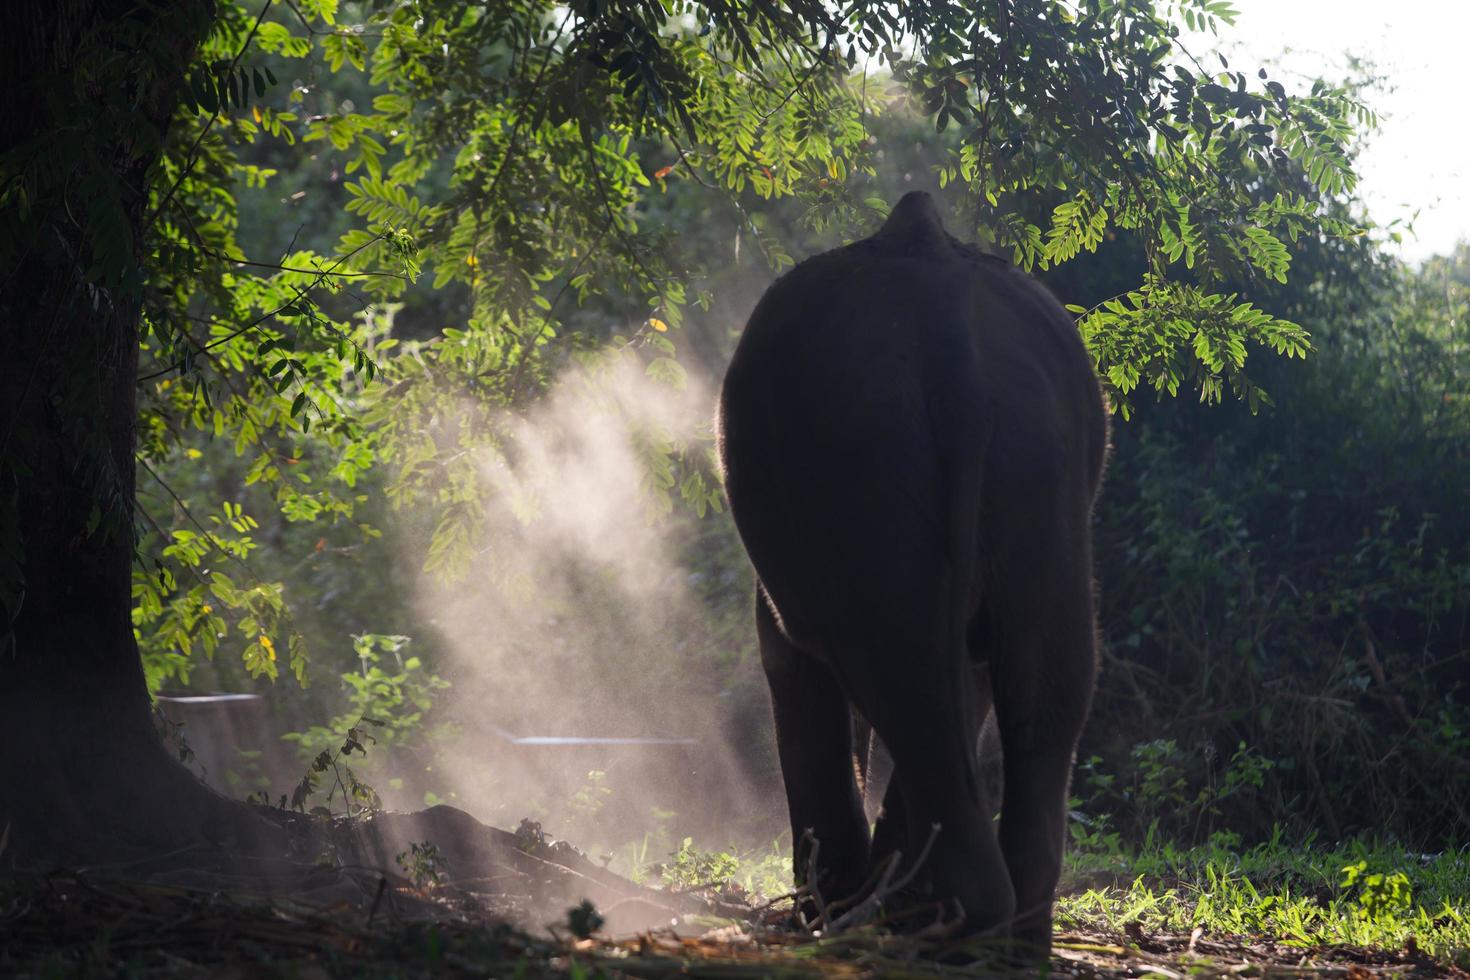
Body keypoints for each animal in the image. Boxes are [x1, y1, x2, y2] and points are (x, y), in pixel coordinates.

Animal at [717, 189, 1105, 952]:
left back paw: (911, 925)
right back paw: (994, 940)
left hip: (868, 469)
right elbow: (975, 679)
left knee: (900, 673)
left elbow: (793, 666)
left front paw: (826, 910)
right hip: (1042, 472)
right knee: (1045, 689)